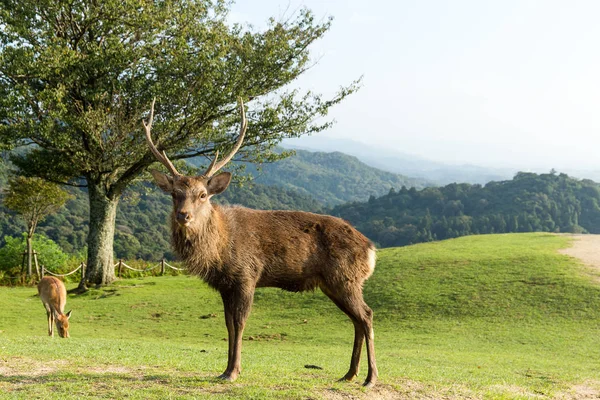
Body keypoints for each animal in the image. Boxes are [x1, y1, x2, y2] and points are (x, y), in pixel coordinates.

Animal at [144, 97, 378, 388]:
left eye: (202, 195)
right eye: (175, 194)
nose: (183, 215)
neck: (219, 250)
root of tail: (371, 249)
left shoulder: (247, 275)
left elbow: (240, 323)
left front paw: (233, 371)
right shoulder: (225, 285)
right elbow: (228, 324)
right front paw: (224, 369)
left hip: (345, 278)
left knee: (367, 315)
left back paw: (370, 377)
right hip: (334, 283)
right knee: (357, 320)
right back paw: (348, 374)